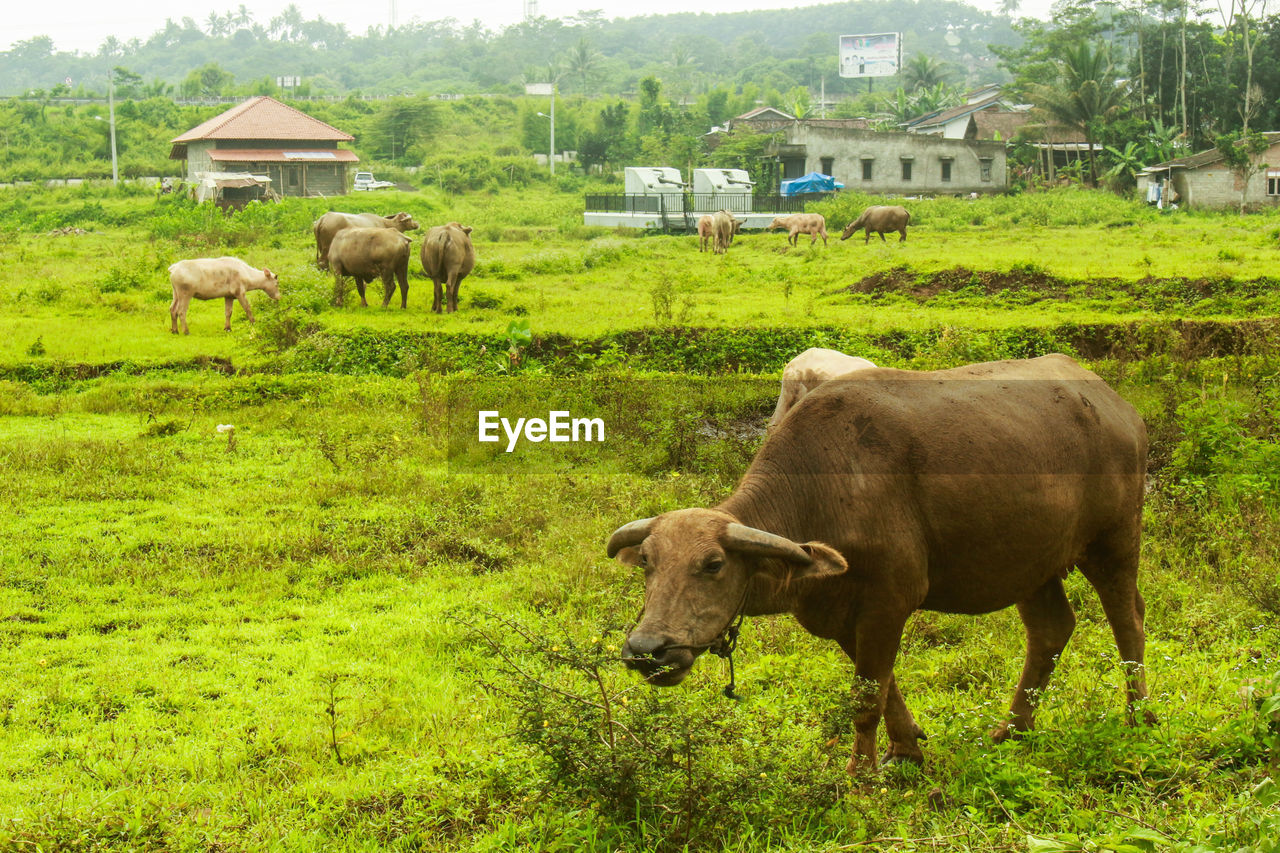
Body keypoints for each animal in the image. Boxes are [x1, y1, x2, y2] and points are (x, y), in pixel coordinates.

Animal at [606, 350, 1152, 768]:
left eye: (714, 565)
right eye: (648, 562)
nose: (647, 649)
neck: (823, 489)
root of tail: (1115, 406)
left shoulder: (889, 602)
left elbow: (866, 699)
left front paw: (861, 776)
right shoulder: (844, 614)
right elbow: (886, 688)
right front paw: (908, 748)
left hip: (1113, 541)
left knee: (1129, 622)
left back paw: (1139, 716)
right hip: (1030, 563)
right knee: (1051, 630)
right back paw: (1012, 729)